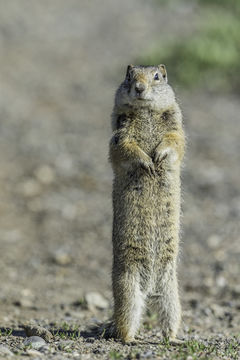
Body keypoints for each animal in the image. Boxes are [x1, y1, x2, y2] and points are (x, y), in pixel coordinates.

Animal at [109, 64, 186, 344]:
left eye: (157, 76)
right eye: (129, 76)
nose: (140, 88)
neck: (145, 112)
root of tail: (151, 287)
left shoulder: (175, 126)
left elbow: (174, 140)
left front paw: (159, 158)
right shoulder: (119, 134)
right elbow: (126, 148)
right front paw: (146, 163)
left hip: (171, 294)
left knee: (168, 317)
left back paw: (171, 338)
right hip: (128, 288)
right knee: (126, 317)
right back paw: (129, 339)